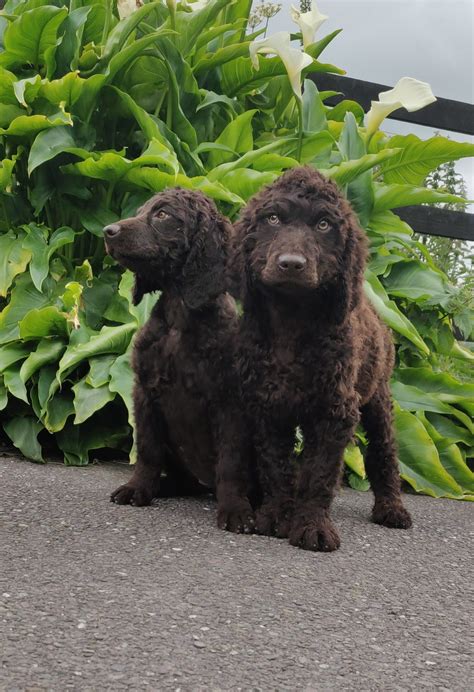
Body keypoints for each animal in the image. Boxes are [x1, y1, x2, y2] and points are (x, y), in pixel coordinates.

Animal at [105, 187, 256, 532]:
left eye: (162, 215)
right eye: (140, 211)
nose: (108, 231)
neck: (179, 318)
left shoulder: (230, 401)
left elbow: (231, 461)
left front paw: (235, 508)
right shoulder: (145, 392)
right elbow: (148, 450)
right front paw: (138, 487)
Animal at [235, 166, 412, 552]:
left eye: (323, 225)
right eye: (273, 219)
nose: (291, 264)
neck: (292, 321)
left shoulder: (335, 411)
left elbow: (320, 473)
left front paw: (312, 526)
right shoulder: (267, 405)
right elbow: (276, 464)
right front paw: (277, 515)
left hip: (378, 398)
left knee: (385, 453)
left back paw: (392, 508)